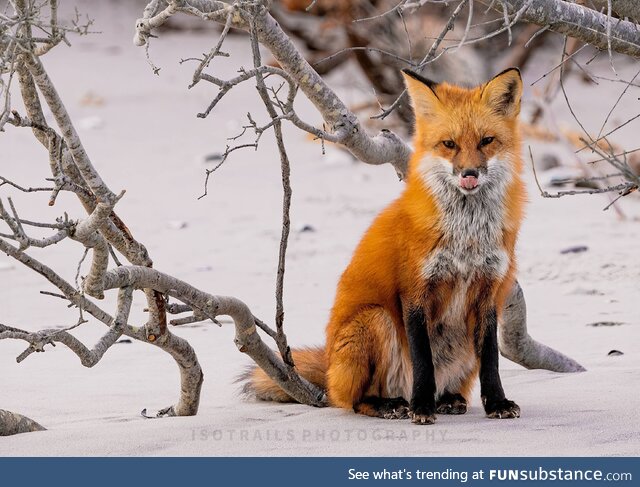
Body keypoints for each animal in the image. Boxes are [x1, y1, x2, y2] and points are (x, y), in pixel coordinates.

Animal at [244, 67, 527, 424]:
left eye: (486, 141)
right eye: (449, 144)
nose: (469, 174)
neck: (467, 237)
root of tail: (330, 371)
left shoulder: (489, 292)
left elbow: (491, 359)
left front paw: (497, 403)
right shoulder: (414, 291)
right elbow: (422, 360)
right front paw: (422, 406)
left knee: (453, 384)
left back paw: (448, 399)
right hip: (375, 320)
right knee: (352, 401)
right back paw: (390, 404)